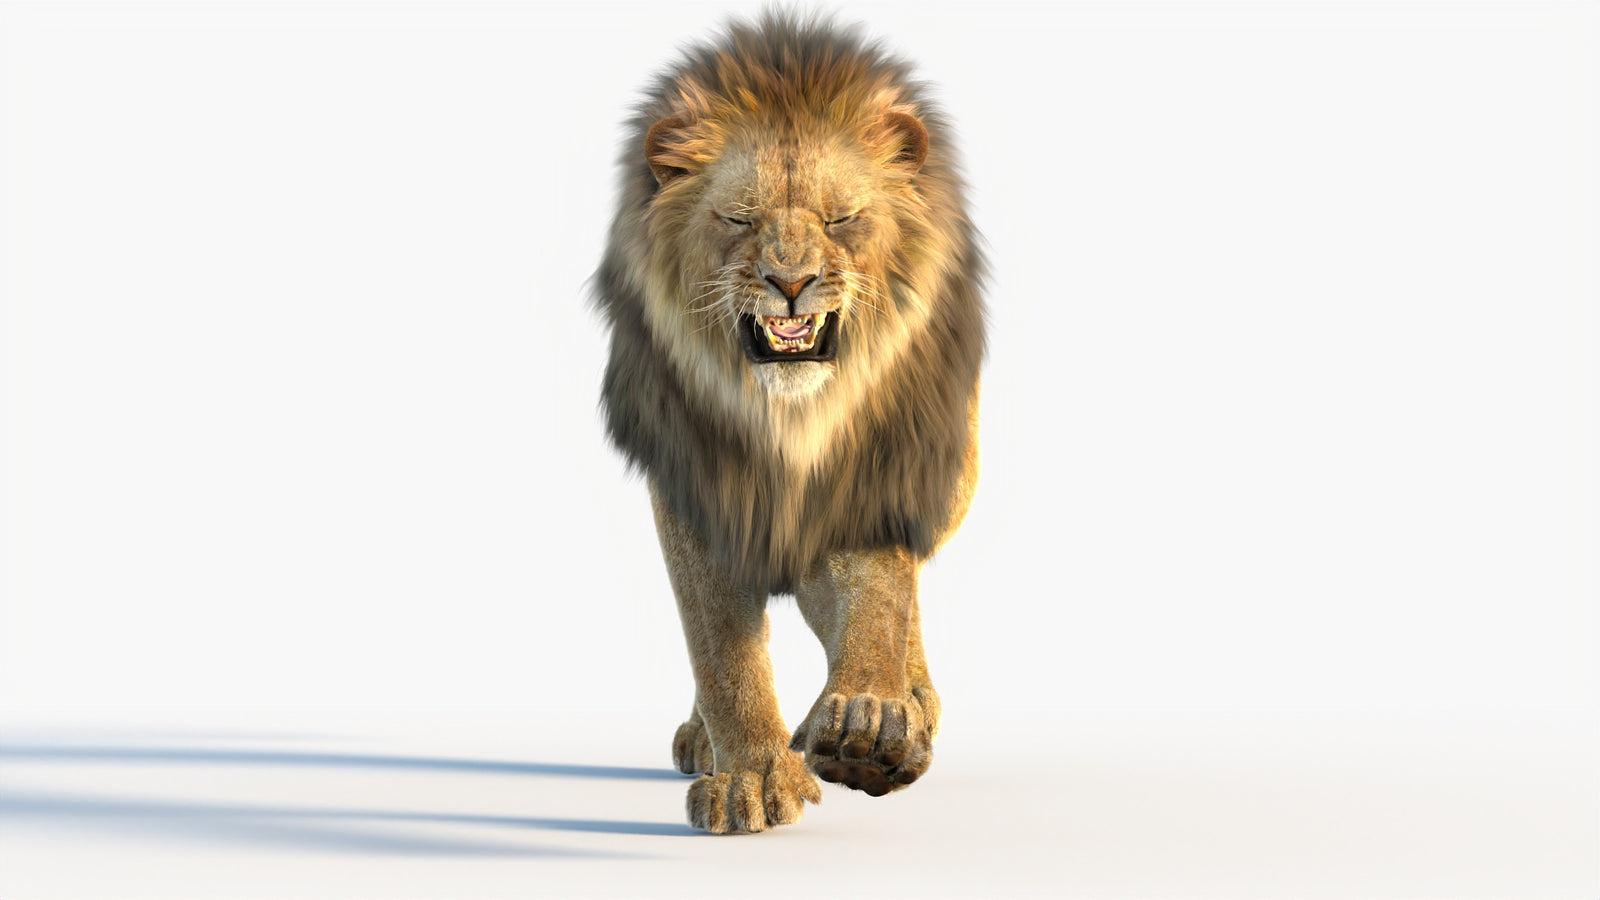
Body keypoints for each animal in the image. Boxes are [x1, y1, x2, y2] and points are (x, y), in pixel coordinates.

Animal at [592, 12, 985, 834]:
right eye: (739, 219)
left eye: (842, 218)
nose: (792, 282)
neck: (786, 419)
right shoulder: (695, 491)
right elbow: (721, 647)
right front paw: (751, 778)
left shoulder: (880, 472)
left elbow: (879, 596)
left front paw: (872, 721)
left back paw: (913, 702)